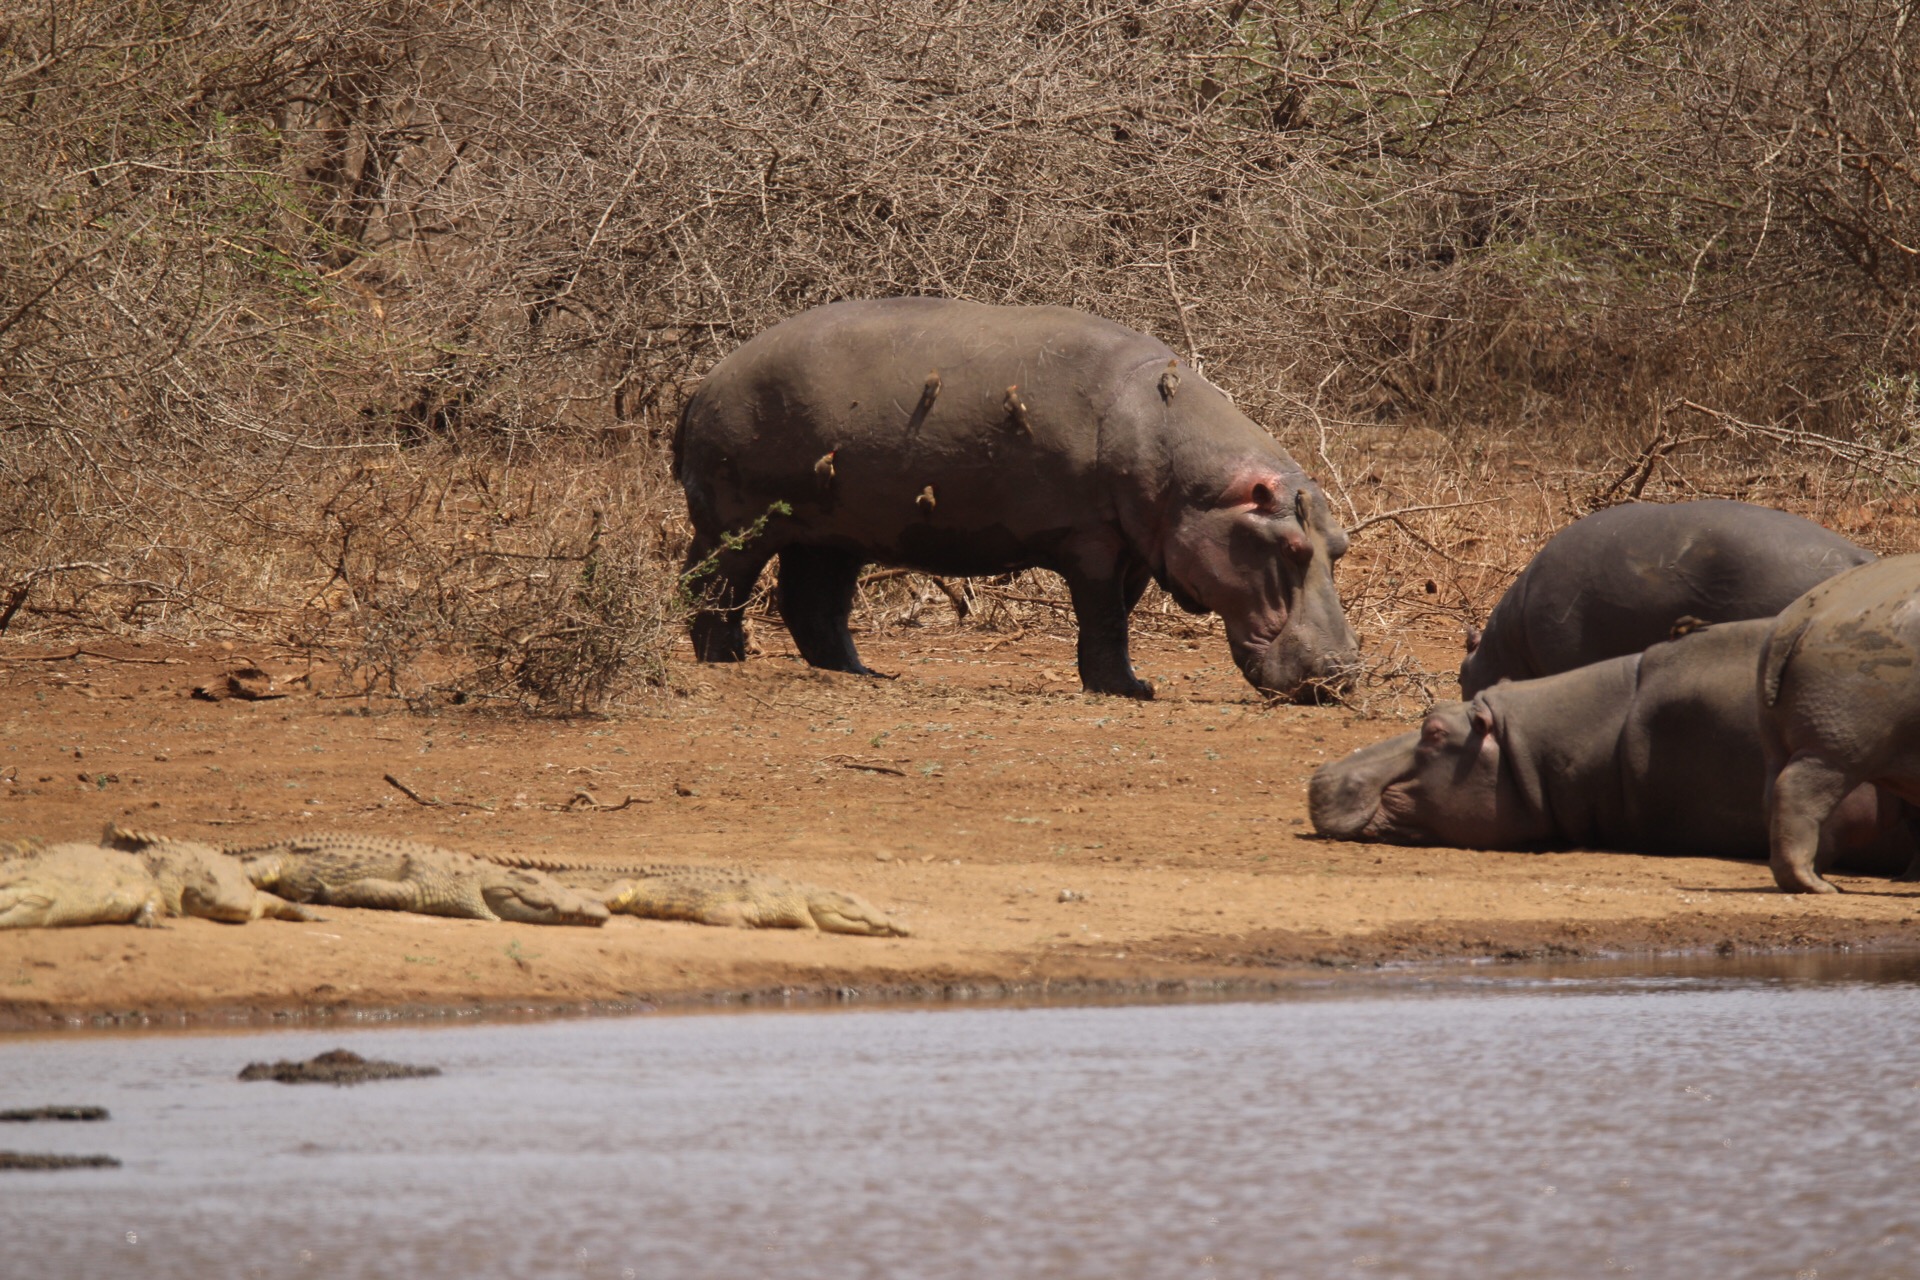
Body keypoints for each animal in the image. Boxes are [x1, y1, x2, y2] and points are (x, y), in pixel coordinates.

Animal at [675, 297, 1367, 706]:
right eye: (1290, 547)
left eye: (1339, 546)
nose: (1341, 672)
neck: (1201, 486)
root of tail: (705, 382)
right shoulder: (1093, 541)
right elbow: (1104, 617)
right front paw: (1128, 691)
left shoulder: (1138, 549)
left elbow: (1118, 614)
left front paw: (1130, 684)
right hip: (738, 523)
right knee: (711, 586)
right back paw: (727, 660)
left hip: (831, 534)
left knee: (813, 606)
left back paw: (860, 674)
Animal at [1758, 556, 1920, 898]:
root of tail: (1799, 619)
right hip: (1837, 748)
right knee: (1797, 792)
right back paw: (1814, 885)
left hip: (1777, 741)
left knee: (1773, 796)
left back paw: (1817, 879)